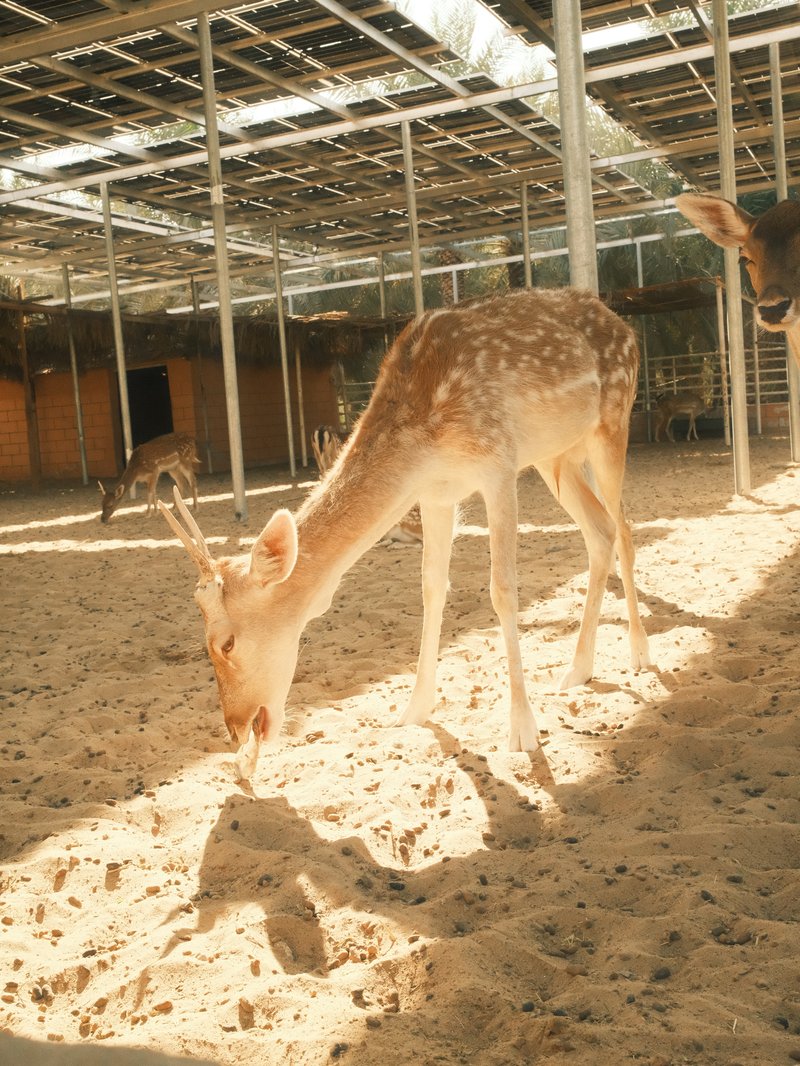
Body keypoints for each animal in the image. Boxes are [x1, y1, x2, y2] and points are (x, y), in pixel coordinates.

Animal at [158, 288, 651, 780]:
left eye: (225, 643)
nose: (235, 728)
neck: (424, 438)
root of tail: (624, 326)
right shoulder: (435, 494)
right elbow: (431, 588)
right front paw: (414, 709)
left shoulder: (498, 464)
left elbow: (502, 589)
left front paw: (522, 730)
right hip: (556, 456)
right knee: (600, 532)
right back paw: (578, 669)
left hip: (612, 423)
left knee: (624, 528)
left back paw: (640, 653)